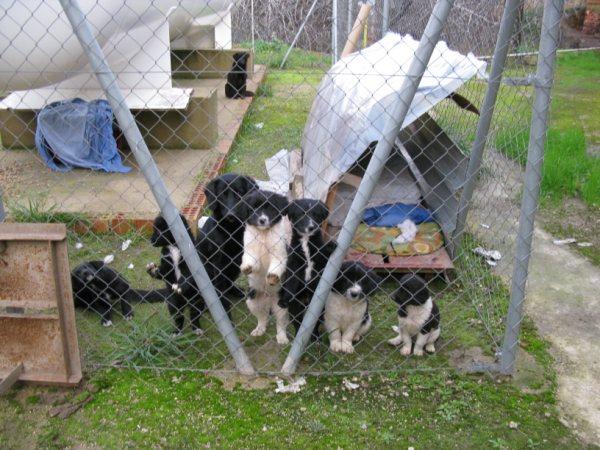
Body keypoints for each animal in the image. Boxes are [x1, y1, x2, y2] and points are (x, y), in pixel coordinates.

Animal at [237, 190, 290, 344]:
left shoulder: (279, 254)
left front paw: (273, 277)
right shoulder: (251, 251)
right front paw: (246, 267)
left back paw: (282, 338)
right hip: (252, 300)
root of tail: (268, 298)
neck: (263, 234)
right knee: (262, 318)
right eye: (253, 209)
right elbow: (250, 261)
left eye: (269, 208)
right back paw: (259, 330)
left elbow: (276, 265)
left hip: (281, 305)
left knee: (281, 323)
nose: (262, 220)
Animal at [278, 199, 336, 340]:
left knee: (314, 323)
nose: (312, 227)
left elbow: (323, 254)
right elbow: (291, 282)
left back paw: (315, 337)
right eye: (302, 214)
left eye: (316, 215)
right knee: (298, 322)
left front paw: (330, 246)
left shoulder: (321, 261)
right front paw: (286, 297)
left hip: (318, 307)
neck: (306, 240)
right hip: (295, 307)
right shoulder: (293, 263)